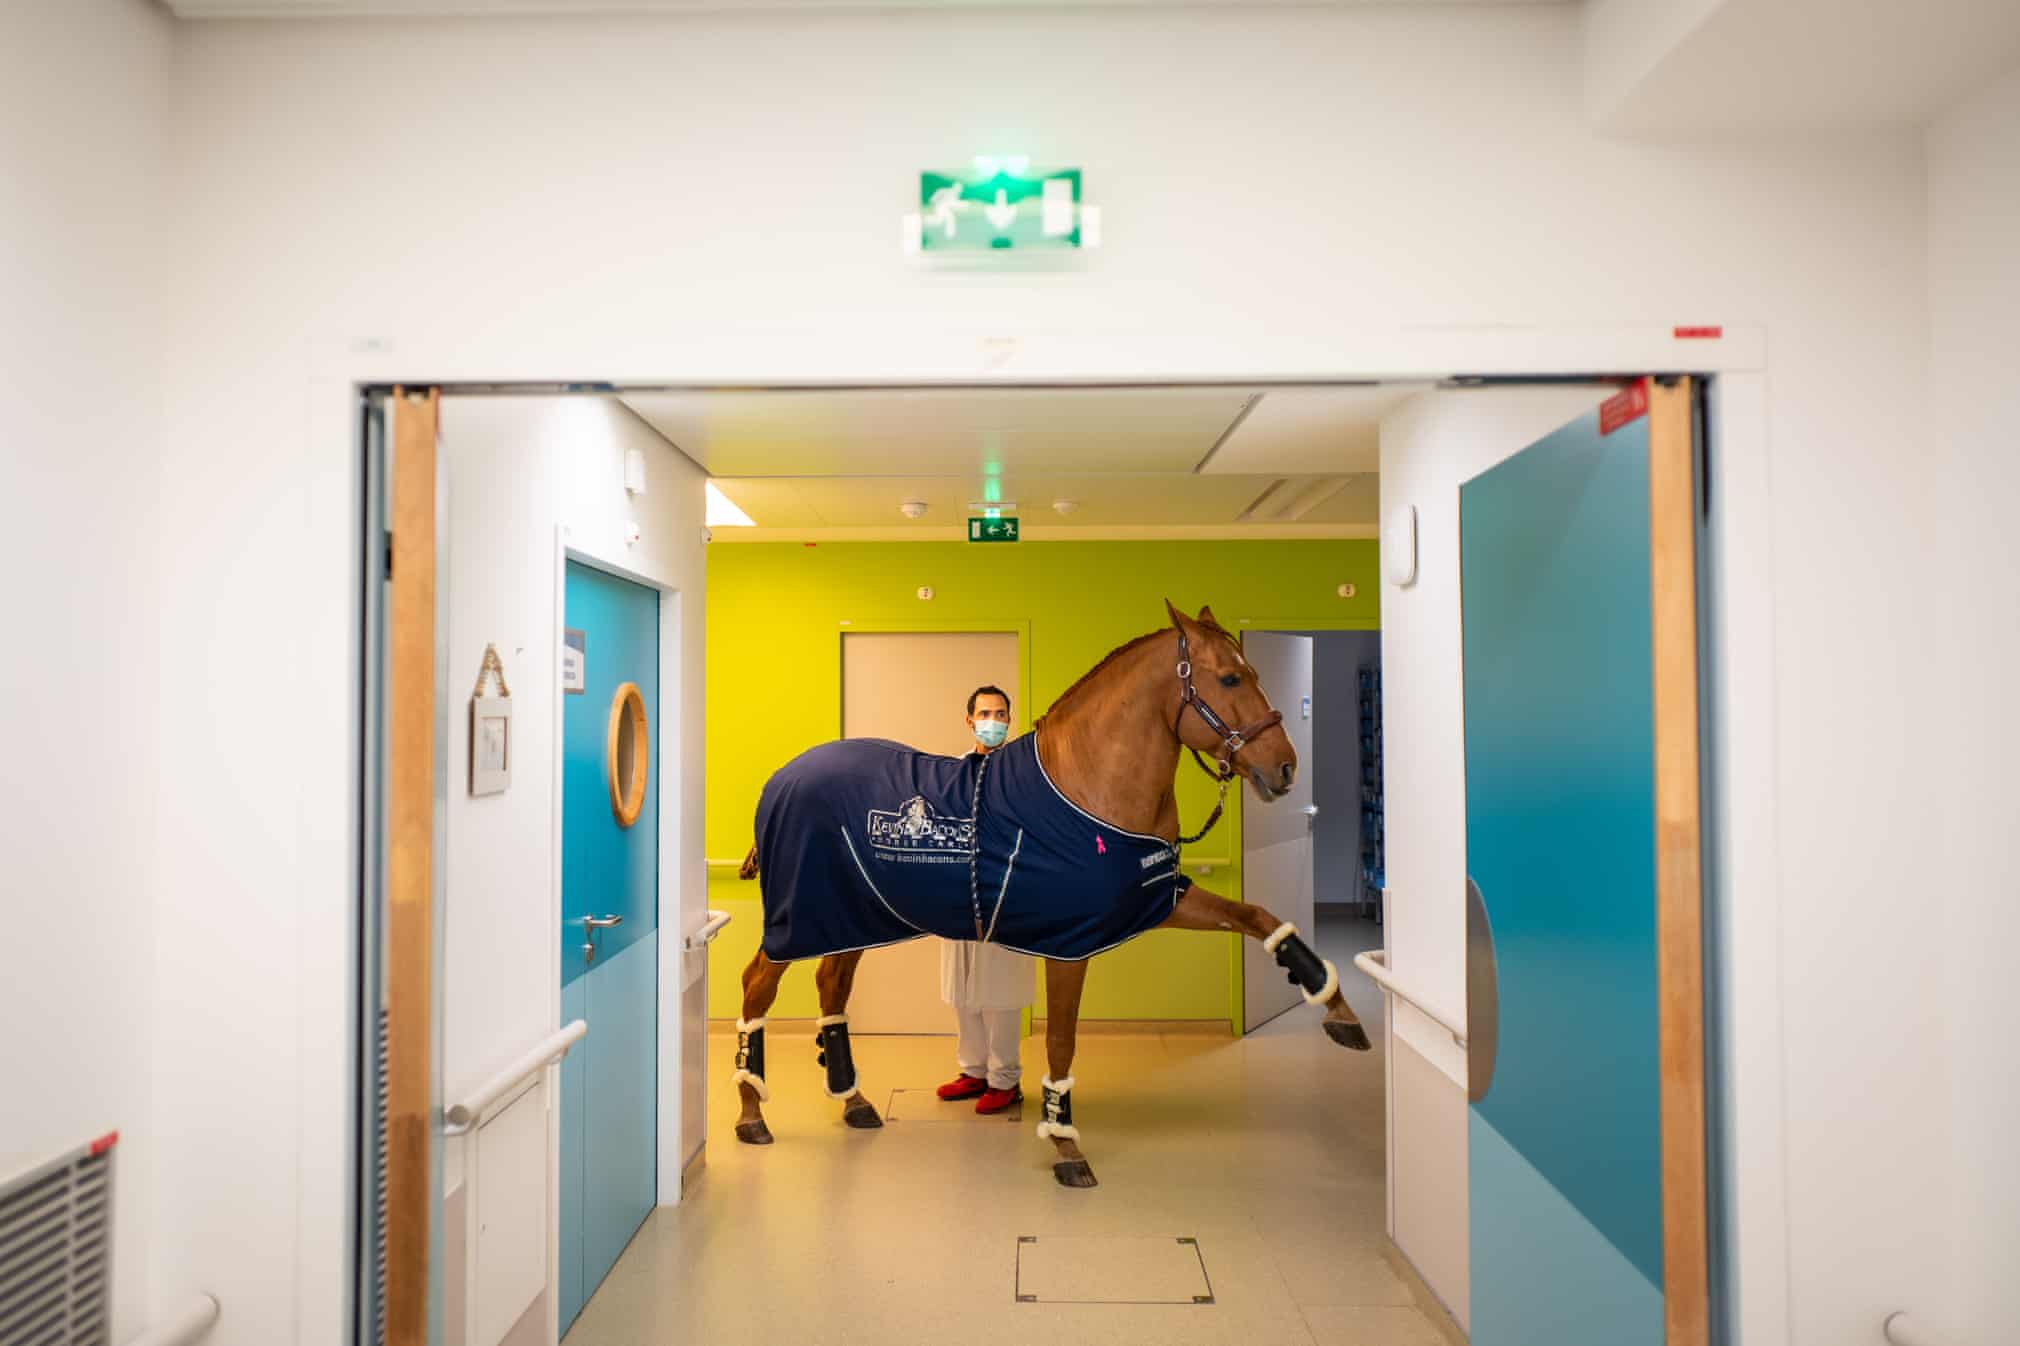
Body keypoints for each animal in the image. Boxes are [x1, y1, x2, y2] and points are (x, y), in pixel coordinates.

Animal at [729, 600, 1372, 1188]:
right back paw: (751, 1112)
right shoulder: (1069, 943)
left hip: (852, 916)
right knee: (758, 984)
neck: (1088, 786)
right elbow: (1061, 1040)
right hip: (800, 918)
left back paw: (853, 1101)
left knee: (831, 983)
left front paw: (1337, 1007)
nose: (1284, 767)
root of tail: (779, 781)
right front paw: (1065, 1142)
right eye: (1231, 677)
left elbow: (1257, 915)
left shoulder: (1159, 899)